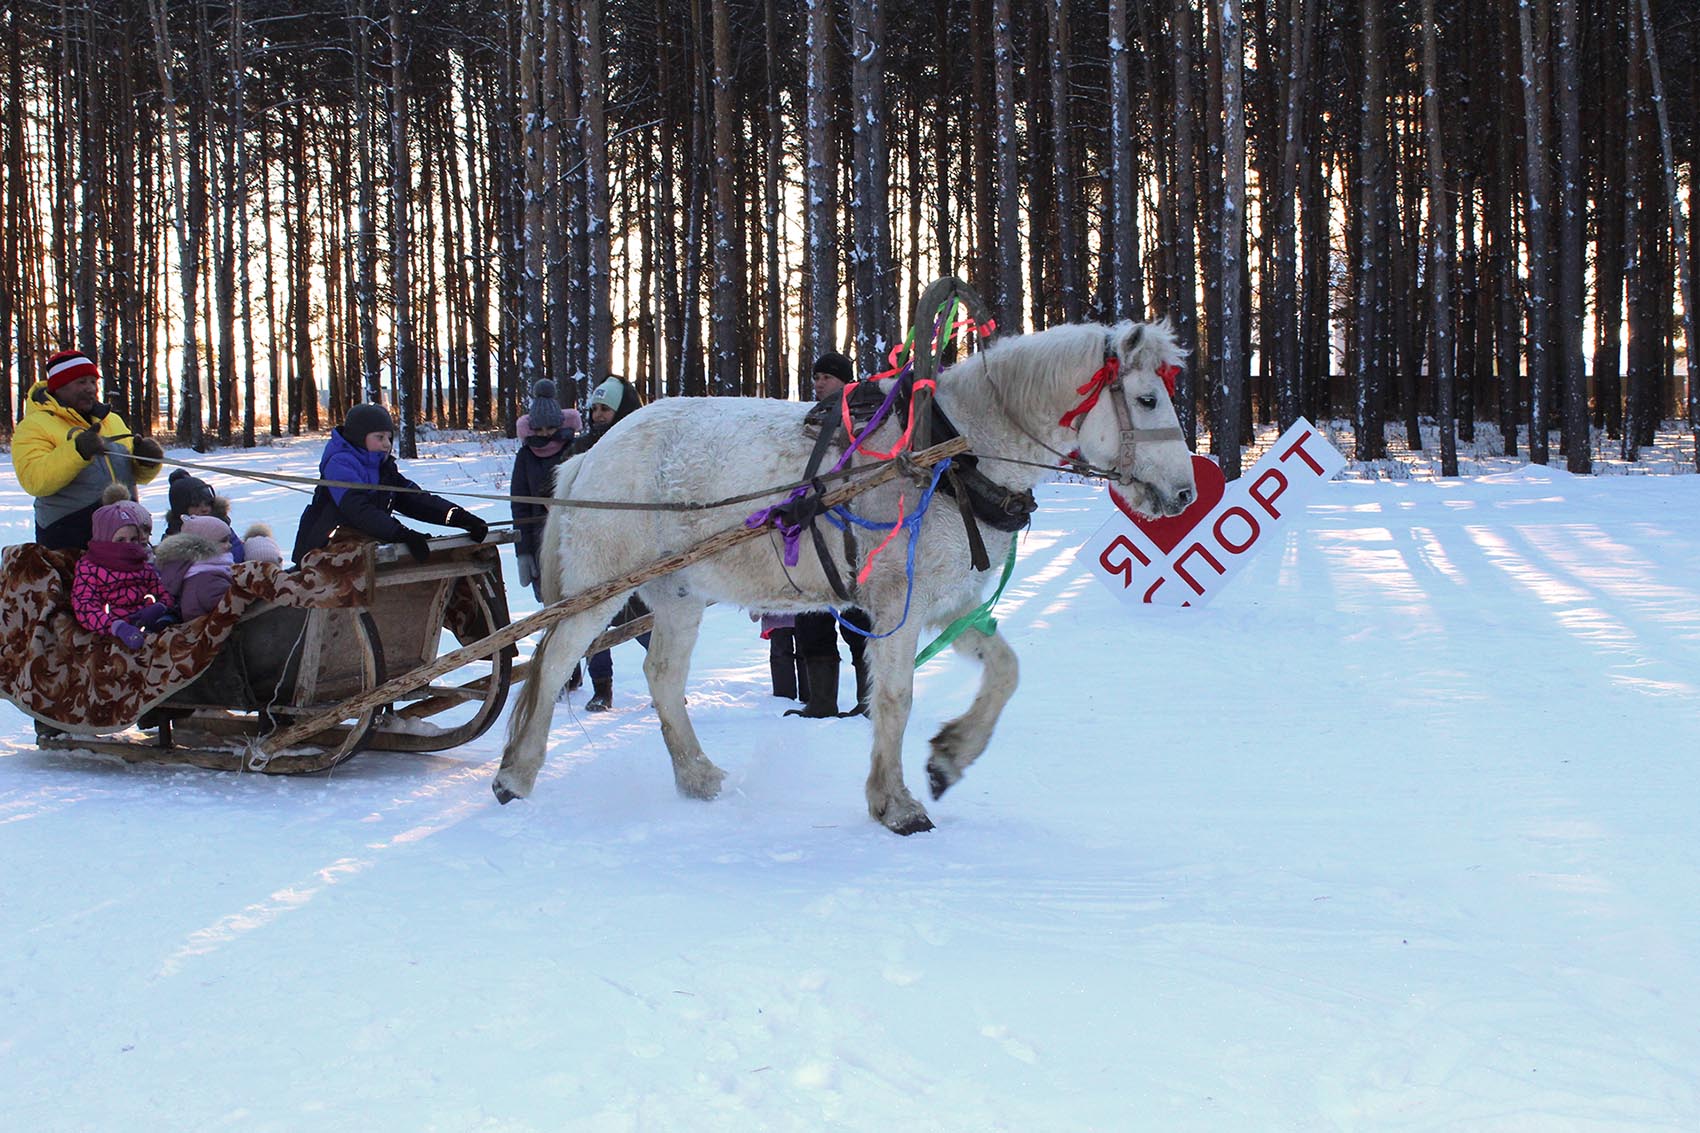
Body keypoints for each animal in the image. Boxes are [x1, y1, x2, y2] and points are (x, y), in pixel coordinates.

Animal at [493, 318, 1196, 830]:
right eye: (1147, 398)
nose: (1186, 493)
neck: (949, 456)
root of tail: (590, 454)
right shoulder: (898, 606)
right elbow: (894, 698)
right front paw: (896, 804)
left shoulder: (949, 601)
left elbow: (1005, 671)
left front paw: (950, 758)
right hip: (602, 585)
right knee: (555, 663)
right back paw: (516, 775)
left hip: (679, 591)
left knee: (663, 677)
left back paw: (697, 776)